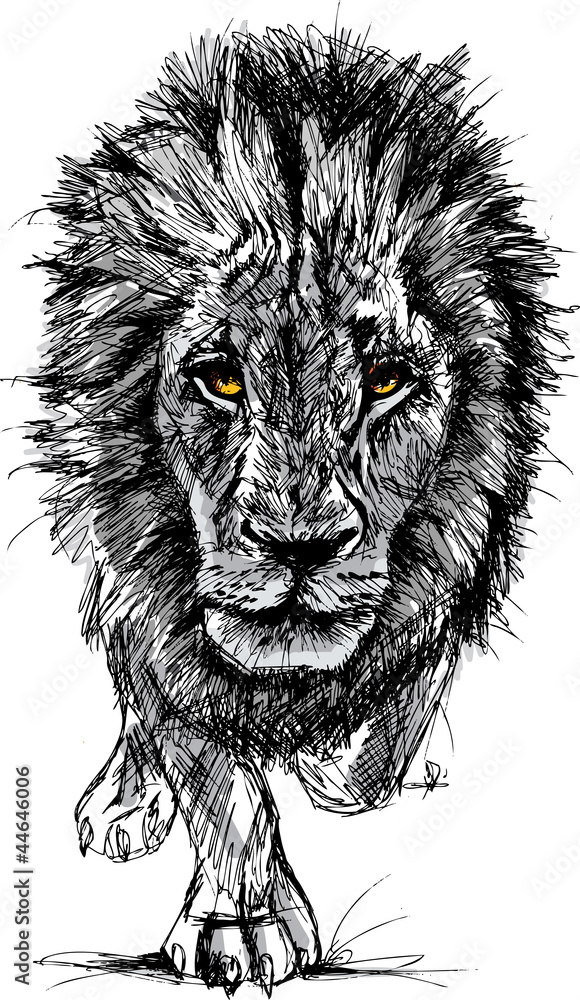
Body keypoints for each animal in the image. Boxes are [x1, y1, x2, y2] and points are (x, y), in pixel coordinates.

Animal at [31, 26, 562, 993]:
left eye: (386, 380)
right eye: (218, 376)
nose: (298, 547)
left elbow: (374, 747)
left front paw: (342, 756)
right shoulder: (147, 593)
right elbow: (215, 770)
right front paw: (240, 925)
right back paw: (127, 801)